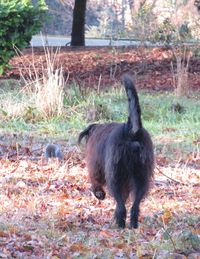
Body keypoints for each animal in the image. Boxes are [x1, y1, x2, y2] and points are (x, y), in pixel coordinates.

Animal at [79, 75, 154, 230]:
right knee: (134, 206)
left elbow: (95, 179)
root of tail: (132, 131)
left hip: (115, 177)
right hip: (141, 177)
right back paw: (132, 223)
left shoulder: (95, 166)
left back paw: (119, 223)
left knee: (120, 206)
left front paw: (98, 193)